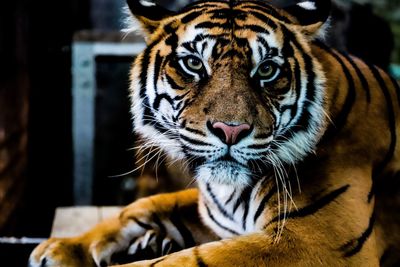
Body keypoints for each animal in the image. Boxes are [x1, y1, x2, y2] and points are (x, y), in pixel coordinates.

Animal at [28, 0, 400, 266]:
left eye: (267, 69)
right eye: (193, 63)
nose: (230, 130)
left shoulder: (316, 240)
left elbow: (182, 261)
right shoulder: (211, 212)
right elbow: (143, 206)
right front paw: (63, 248)